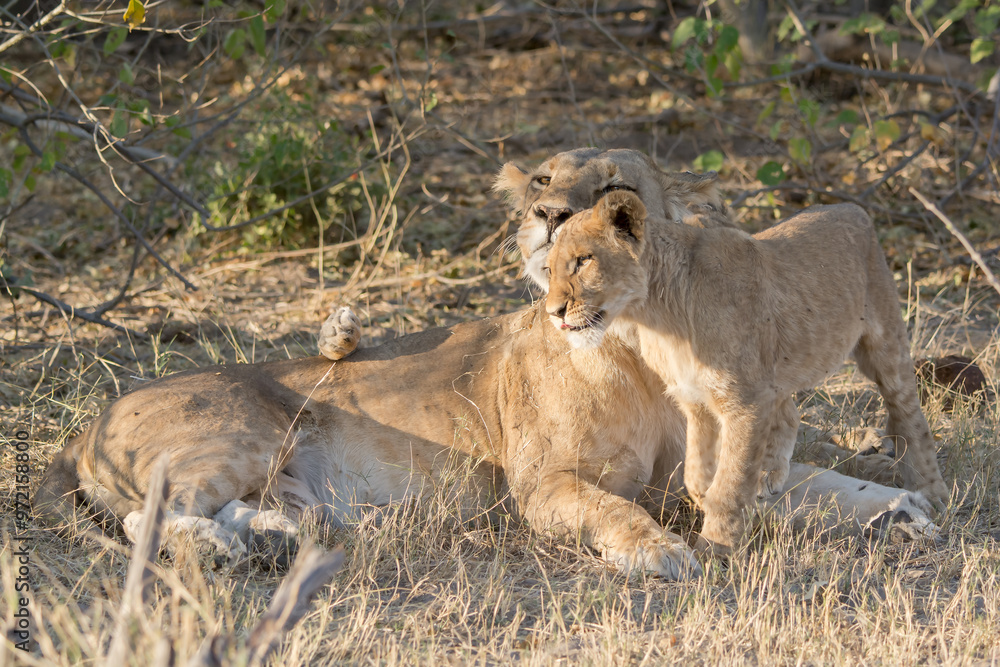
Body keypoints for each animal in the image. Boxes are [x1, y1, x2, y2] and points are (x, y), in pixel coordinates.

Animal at [543, 190, 950, 554]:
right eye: (549, 268)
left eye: (583, 260)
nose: (553, 312)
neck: (657, 314)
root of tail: (852, 208)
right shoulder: (696, 399)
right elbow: (698, 471)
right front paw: (715, 499)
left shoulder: (743, 400)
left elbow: (731, 479)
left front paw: (717, 546)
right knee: (789, 410)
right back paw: (770, 474)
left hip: (884, 343)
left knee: (909, 414)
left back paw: (933, 494)